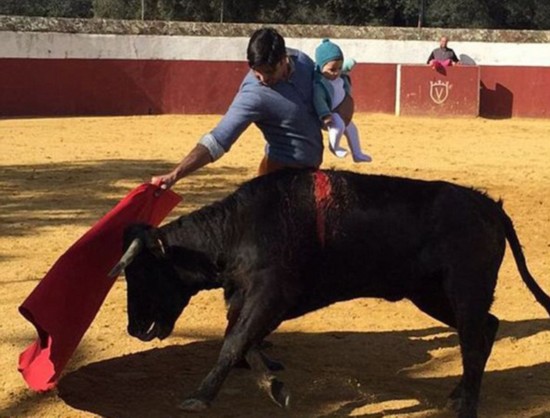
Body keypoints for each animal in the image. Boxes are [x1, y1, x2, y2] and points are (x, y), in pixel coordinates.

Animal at [109, 168, 550, 416]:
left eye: (142, 274)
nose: (134, 328)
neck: (239, 228)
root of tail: (489, 206)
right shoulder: (248, 298)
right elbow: (243, 343)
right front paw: (275, 387)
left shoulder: (271, 293)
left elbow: (234, 343)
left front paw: (199, 397)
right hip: (431, 294)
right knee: (486, 328)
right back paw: (458, 393)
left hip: (464, 288)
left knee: (474, 338)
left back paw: (466, 404)